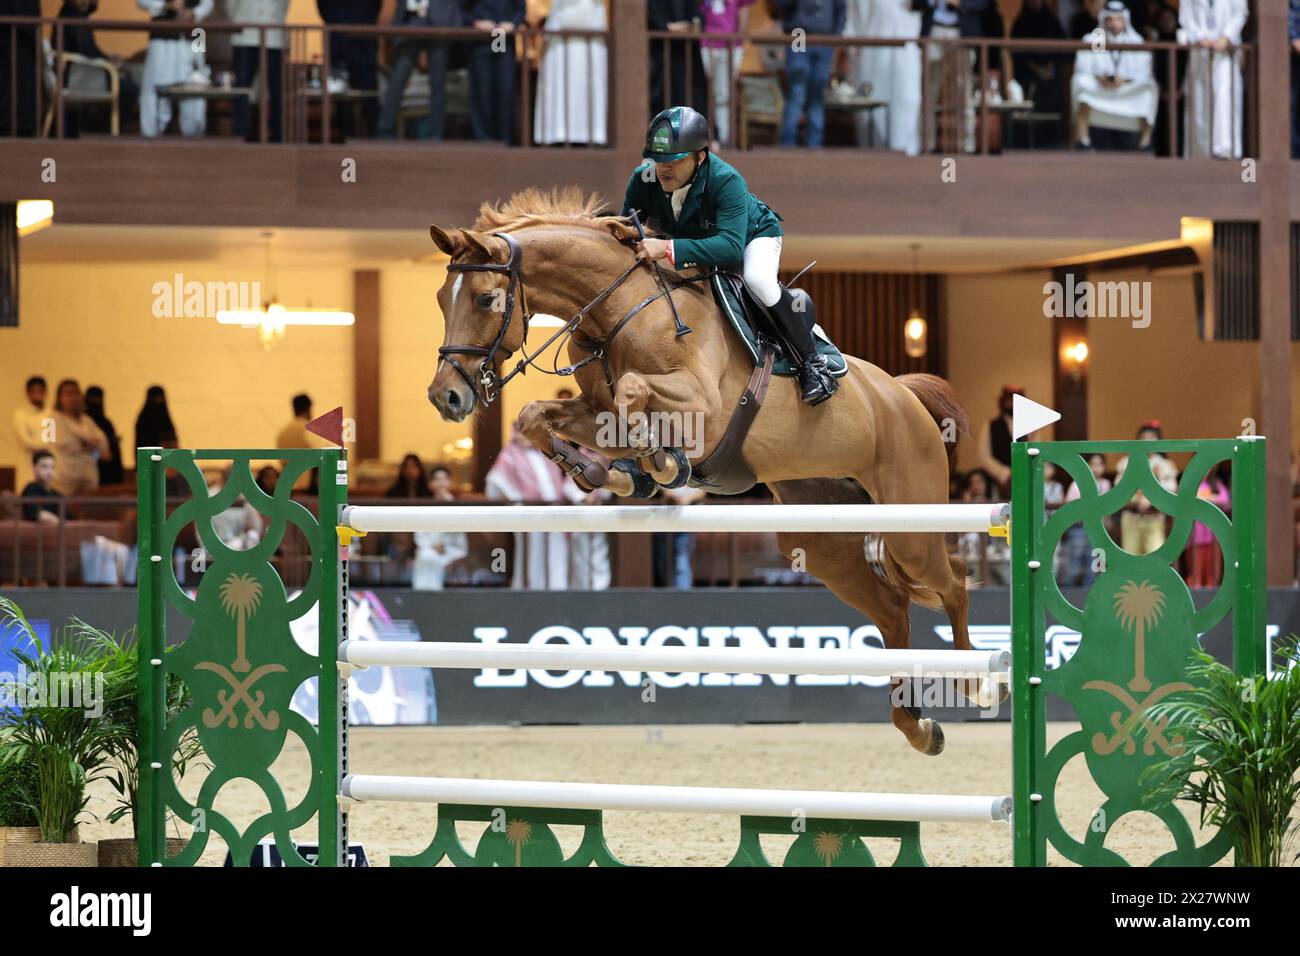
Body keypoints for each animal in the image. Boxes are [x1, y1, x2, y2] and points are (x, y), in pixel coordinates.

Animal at [428, 188, 1003, 754]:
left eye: (484, 299)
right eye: (440, 300)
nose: (445, 397)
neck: (619, 310)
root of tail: (902, 393)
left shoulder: (701, 405)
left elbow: (634, 391)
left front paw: (655, 460)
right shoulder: (593, 410)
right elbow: (537, 416)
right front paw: (611, 472)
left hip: (910, 527)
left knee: (952, 583)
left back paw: (978, 682)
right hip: (821, 539)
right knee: (892, 609)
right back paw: (918, 725)